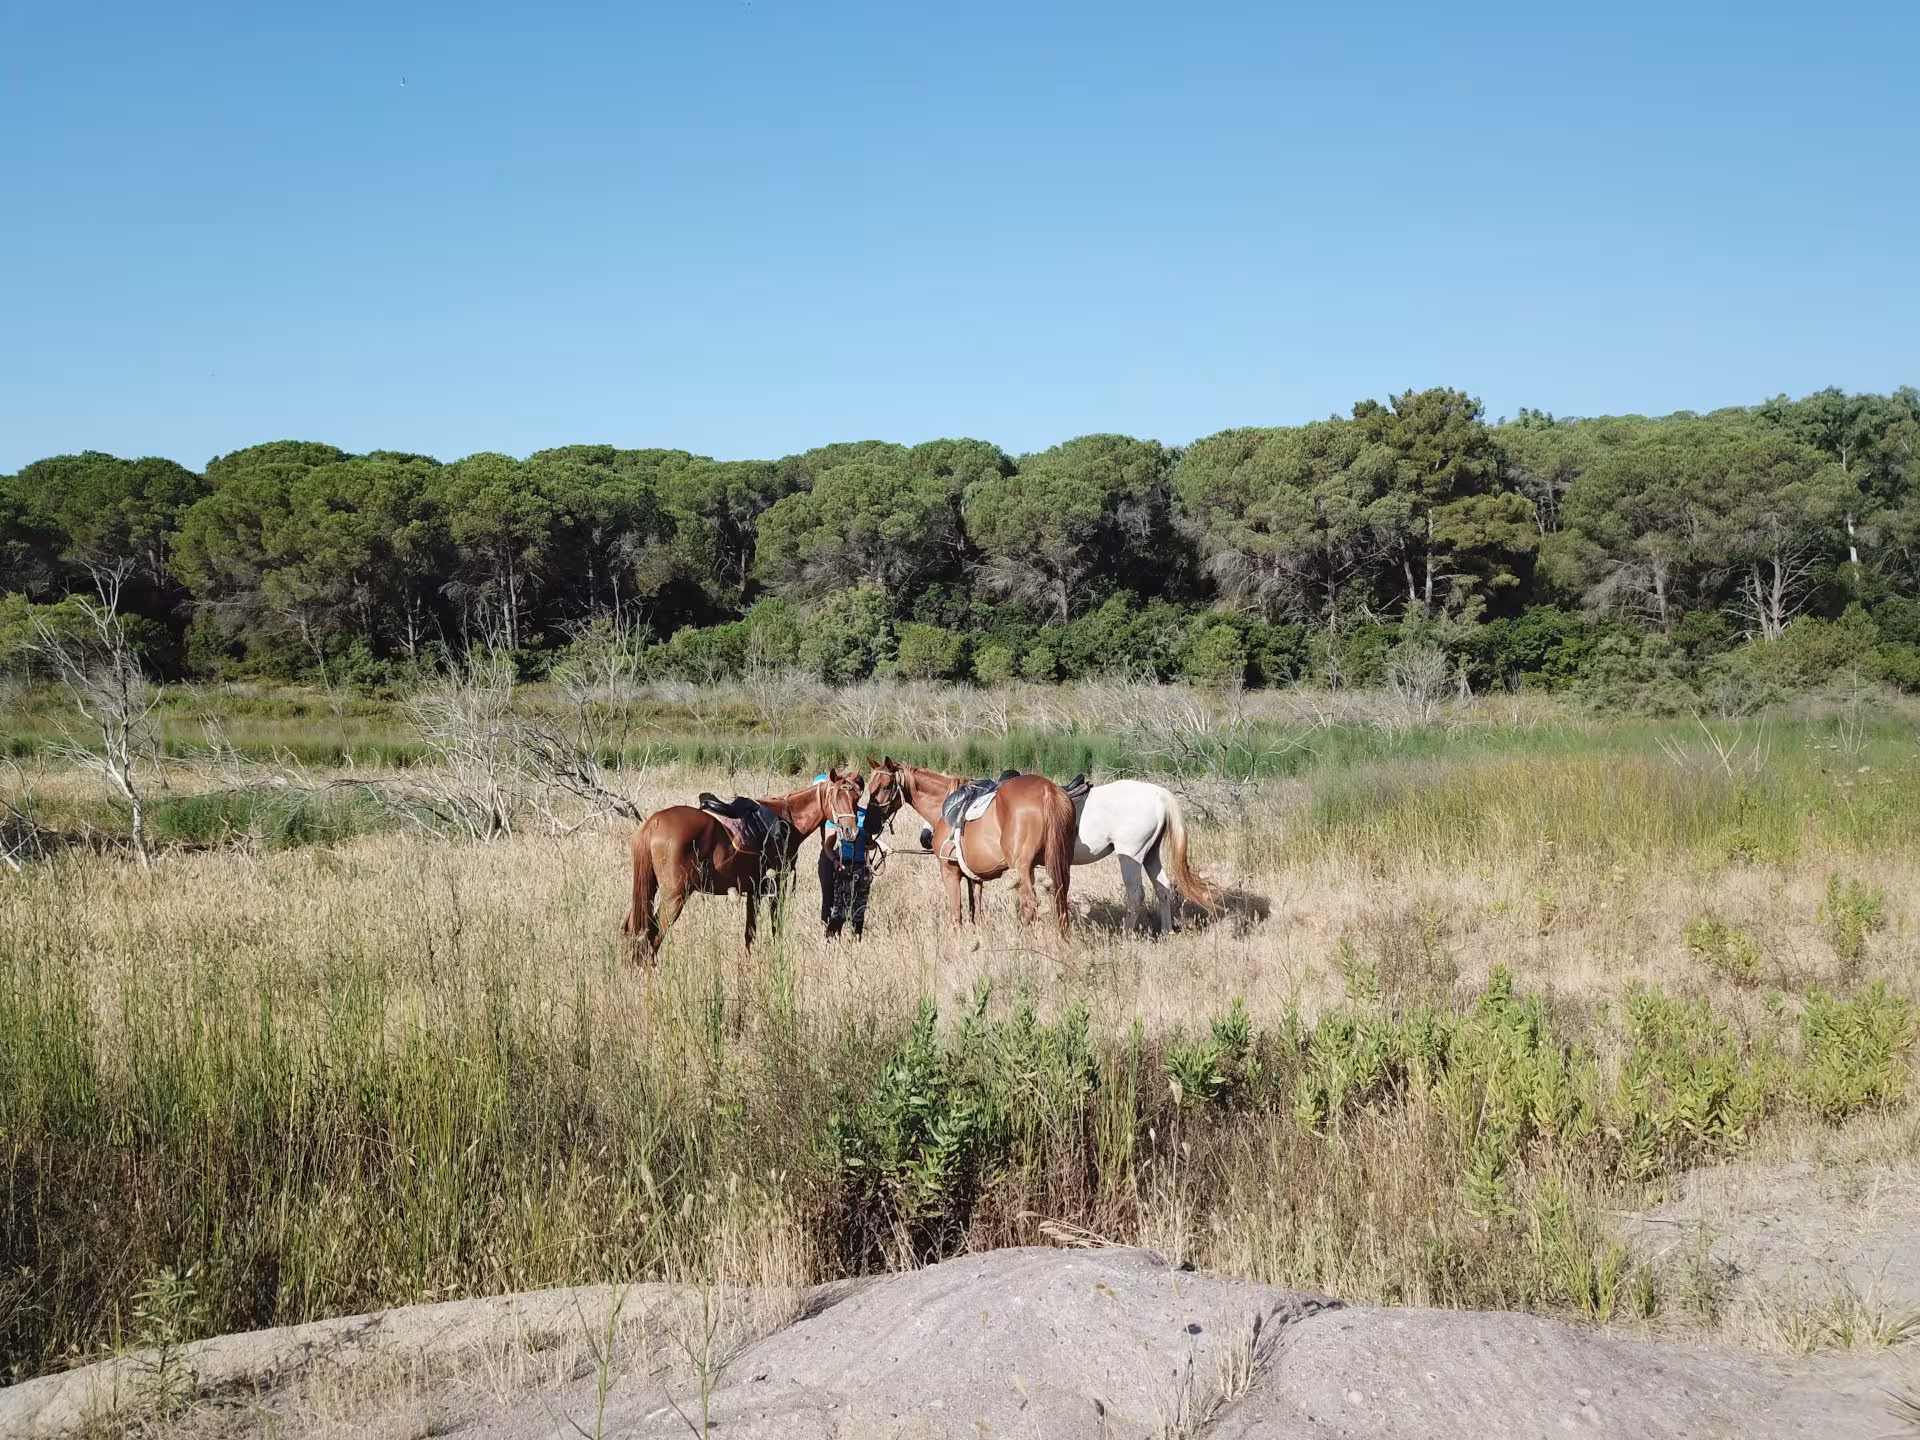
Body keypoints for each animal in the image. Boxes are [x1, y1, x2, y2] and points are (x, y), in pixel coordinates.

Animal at [622, 769, 864, 959]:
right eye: (837, 795)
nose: (851, 831)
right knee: (652, 936)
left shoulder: (754, 890)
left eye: (856, 798)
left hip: (648, 891)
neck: (788, 821)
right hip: (674, 897)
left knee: (634, 929)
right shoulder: (776, 886)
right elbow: (775, 927)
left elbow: (750, 934)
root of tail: (653, 823)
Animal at [867, 758, 1076, 935]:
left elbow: (956, 915)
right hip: (1058, 863)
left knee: (1030, 903)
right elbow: (975, 910)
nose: (870, 822)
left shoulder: (949, 872)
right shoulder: (974, 877)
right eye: (869, 787)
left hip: (1023, 868)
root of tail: (1047, 790)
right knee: (1059, 898)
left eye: (886, 786)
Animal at [1068, 778, 1221, 934]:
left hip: (1131, 856)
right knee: (1162, 887)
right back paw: (1166, 931)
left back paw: (1126, 934)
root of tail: (1160, 793)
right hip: (1151, 854)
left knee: (1136, 894)